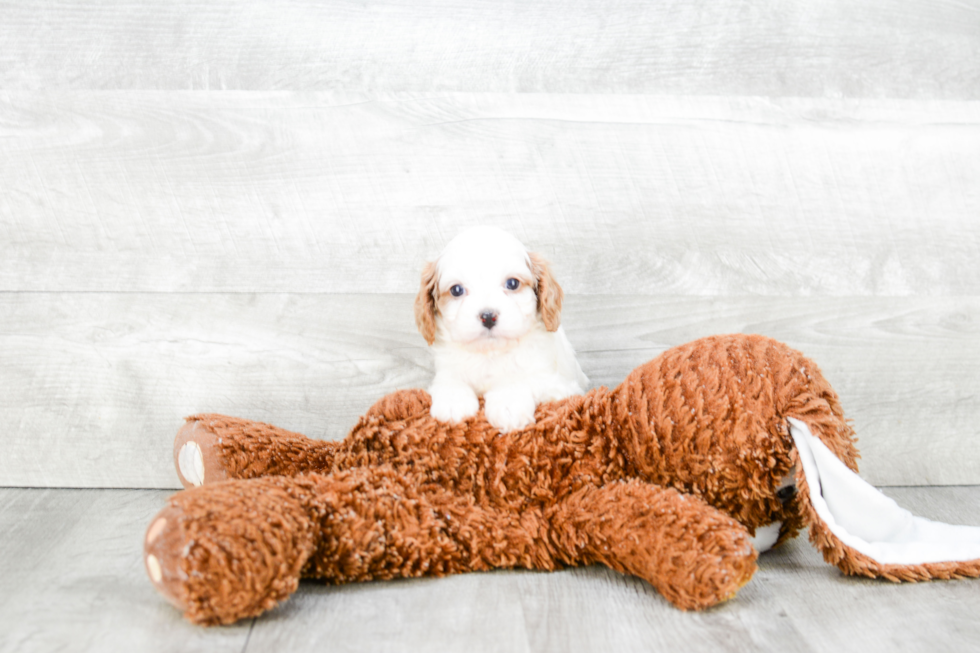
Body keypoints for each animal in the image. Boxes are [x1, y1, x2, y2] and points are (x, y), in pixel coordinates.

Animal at [416, 227, 588, 430]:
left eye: (512, 283)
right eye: (456, 290)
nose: (488, 316)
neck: (490, 354)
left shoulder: (561, 385)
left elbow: (520, 378)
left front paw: (508, 403)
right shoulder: (446, 366)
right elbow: (449, 378)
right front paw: (453, 400)